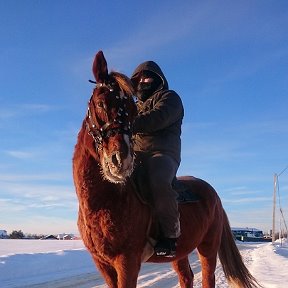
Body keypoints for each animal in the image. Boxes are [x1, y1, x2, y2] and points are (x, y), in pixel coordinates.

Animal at [72, 50, 260, 286]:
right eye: (100, 103)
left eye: (132, 111)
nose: (121, 160)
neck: (103, 202)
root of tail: (214, 196)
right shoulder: (103, 265)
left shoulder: (127, 262)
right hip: (180, 252)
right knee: (186, 277)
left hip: (208, 247)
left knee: (207, 277)